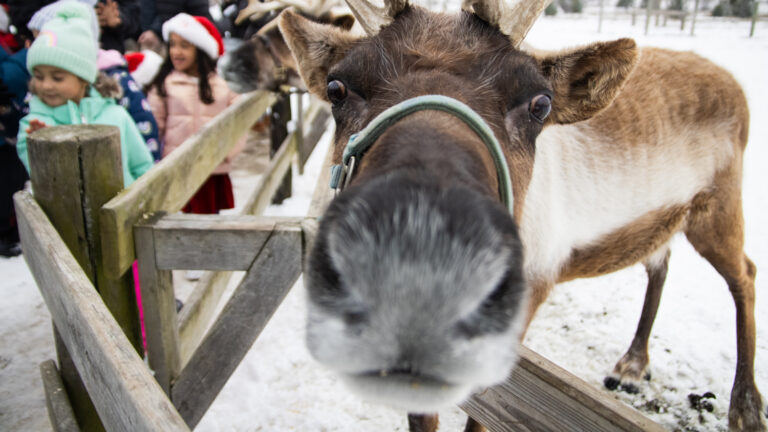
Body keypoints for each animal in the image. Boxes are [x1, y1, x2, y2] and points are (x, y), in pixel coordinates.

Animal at [277, 0, 765, 430]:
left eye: (540, 104)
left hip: (717, 209)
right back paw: (632, 363)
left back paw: (745, 407)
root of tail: (733, 82)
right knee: (659, 264)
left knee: (745, 273)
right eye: (337, 88)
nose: (415, 256)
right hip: (668, 217)